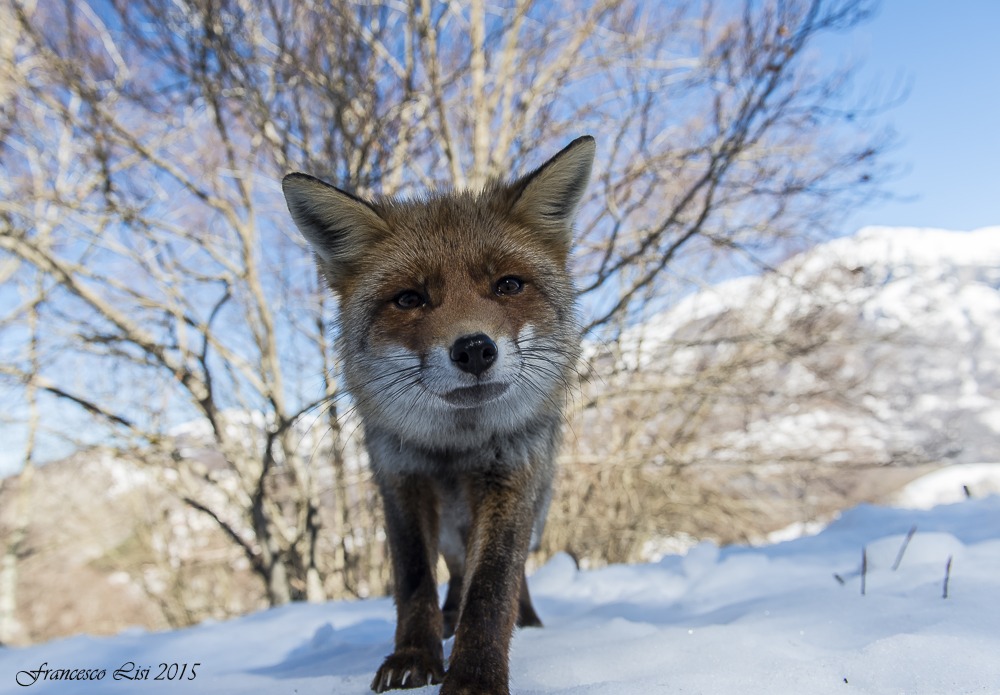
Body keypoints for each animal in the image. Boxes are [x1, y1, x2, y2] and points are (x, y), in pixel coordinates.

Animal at [281, 136, 595, 695]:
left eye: (508, 285)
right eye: (410, 298)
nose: (474, 350)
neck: (456, 448)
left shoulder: (511, 475)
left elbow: (492, 588)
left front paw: (475, 676)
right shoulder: (401, 478)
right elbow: (414, 581)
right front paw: (415, 657)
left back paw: (527, 622)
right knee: (452, 572)